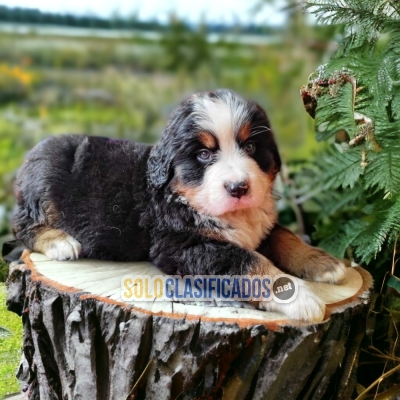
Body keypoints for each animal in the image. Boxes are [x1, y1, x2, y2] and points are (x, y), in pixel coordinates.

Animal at [10, 89, 346, 320]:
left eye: (251, 147)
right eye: (204, 155)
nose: (238, 187)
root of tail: (31, 156)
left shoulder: (260, 226)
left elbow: (284, 236)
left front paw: (324, 263)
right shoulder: (181, 244)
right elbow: (247, 261)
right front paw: (300, 298)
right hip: (44, 189)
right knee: (21, 225)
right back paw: (61, 243)